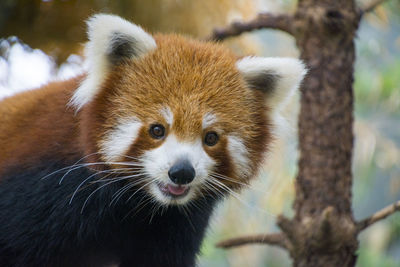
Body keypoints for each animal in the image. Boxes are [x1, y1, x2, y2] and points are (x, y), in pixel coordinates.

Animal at [0, 14, 304, 267]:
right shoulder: (36, 196)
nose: (181, 172)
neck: (134, 207)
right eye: (158, 130)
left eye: (211, 137)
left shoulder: (173, 228)